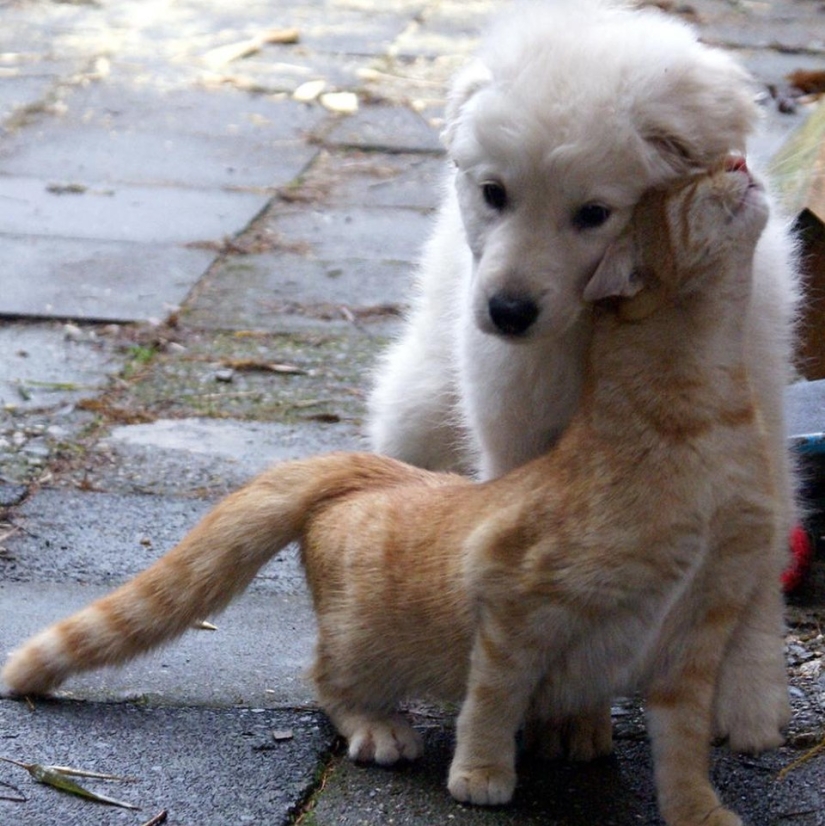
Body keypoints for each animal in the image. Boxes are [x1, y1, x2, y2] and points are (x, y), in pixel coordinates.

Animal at [3, 163, 780, 824]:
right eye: (687, 191)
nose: (741, 162)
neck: (710, 423)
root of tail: (374, 469)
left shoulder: (700, 632)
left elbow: (681, 746)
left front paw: (697, 810)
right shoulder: (515, 598)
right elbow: (491, 697)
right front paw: (480, 775)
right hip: (365, 643)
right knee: (324, 678)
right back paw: (378, 725)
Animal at [370, 0, 800, 756]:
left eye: (593, 213)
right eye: (494, 193)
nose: (507, 312)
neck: (601, 326)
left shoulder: (755, 418)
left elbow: (757, 555)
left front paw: (750, 694)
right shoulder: (515, 430)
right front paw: (566, 715)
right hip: (420, 405)